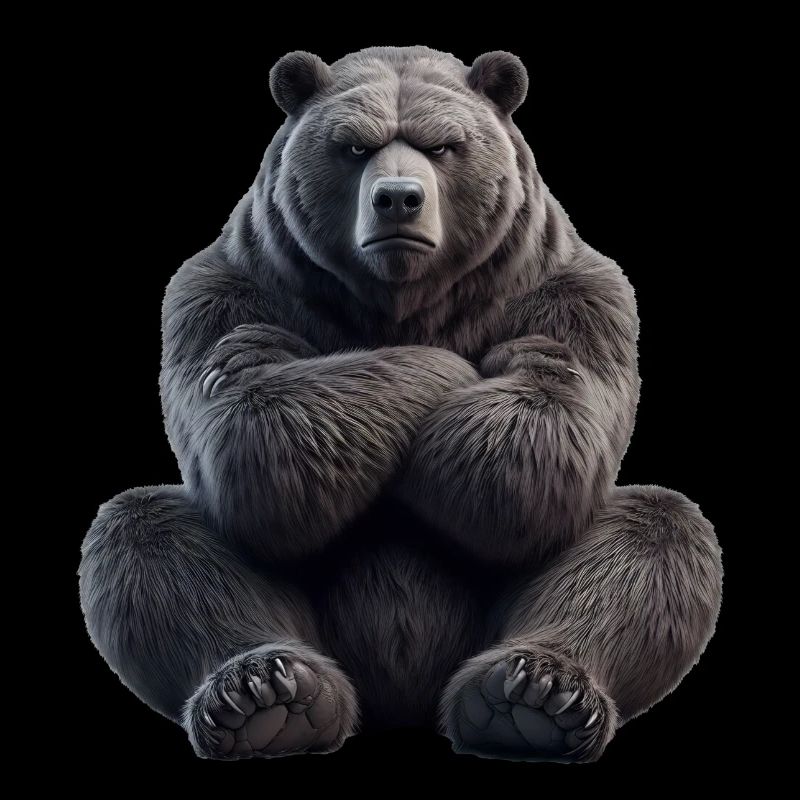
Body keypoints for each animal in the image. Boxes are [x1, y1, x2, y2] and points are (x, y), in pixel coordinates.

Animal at [78, 45, 723, 763]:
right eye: (354, 146)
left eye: (441, 145)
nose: (397, 199)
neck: (404, 302)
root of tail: (401, 704)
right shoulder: (226, 292)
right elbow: (255, 439)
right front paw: (411, 364)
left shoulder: (574, 295)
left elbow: (538, 448)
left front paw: (497, 365)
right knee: (149, 534)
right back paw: (267, 696)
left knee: (653, 533)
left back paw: (533, 696)